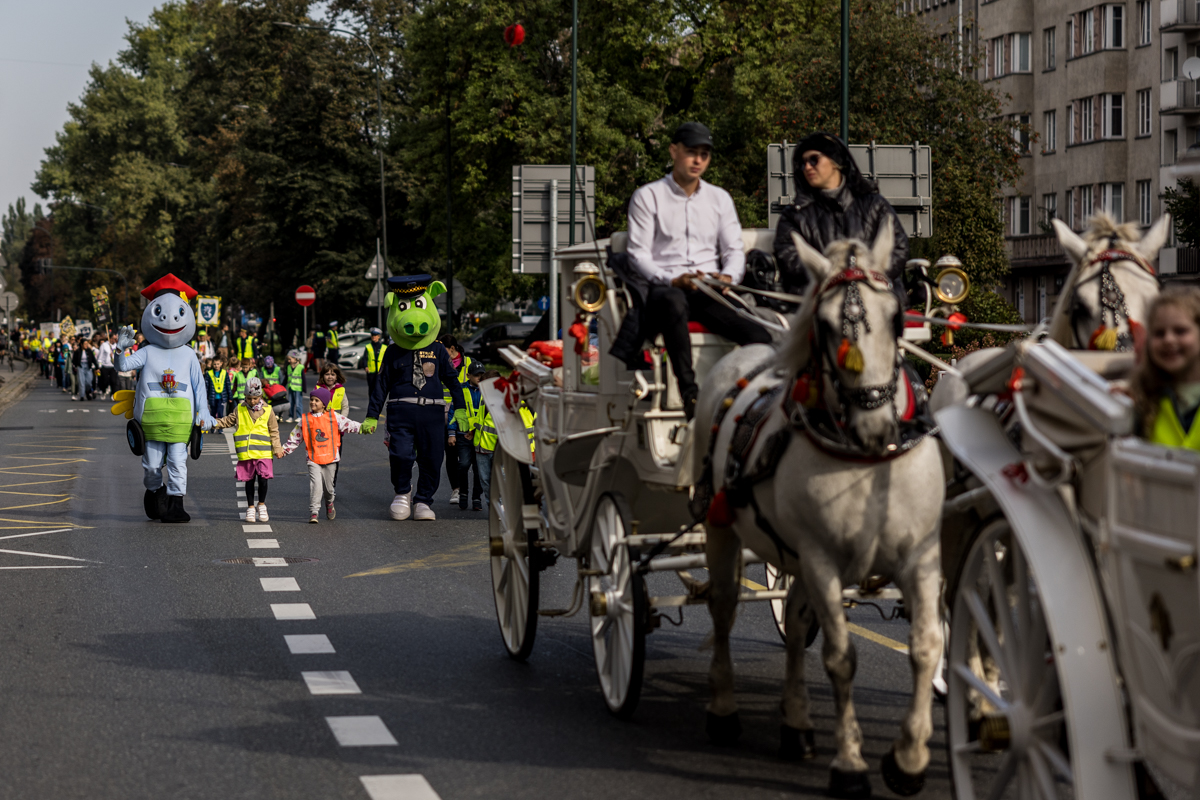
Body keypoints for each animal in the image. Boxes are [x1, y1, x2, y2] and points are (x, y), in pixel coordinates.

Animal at [696, 220, 945, 800]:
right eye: (827, 325)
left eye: (896, 316)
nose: (873, 421)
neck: (868, 458)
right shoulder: (823, 560)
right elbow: (840, 657)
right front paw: (850, 764)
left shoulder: (920, 558)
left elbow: (926, 645)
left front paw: (909, 759)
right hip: (725, 528)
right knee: (724, 607)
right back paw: (723, 710)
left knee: (792, 618)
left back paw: (797, 725)